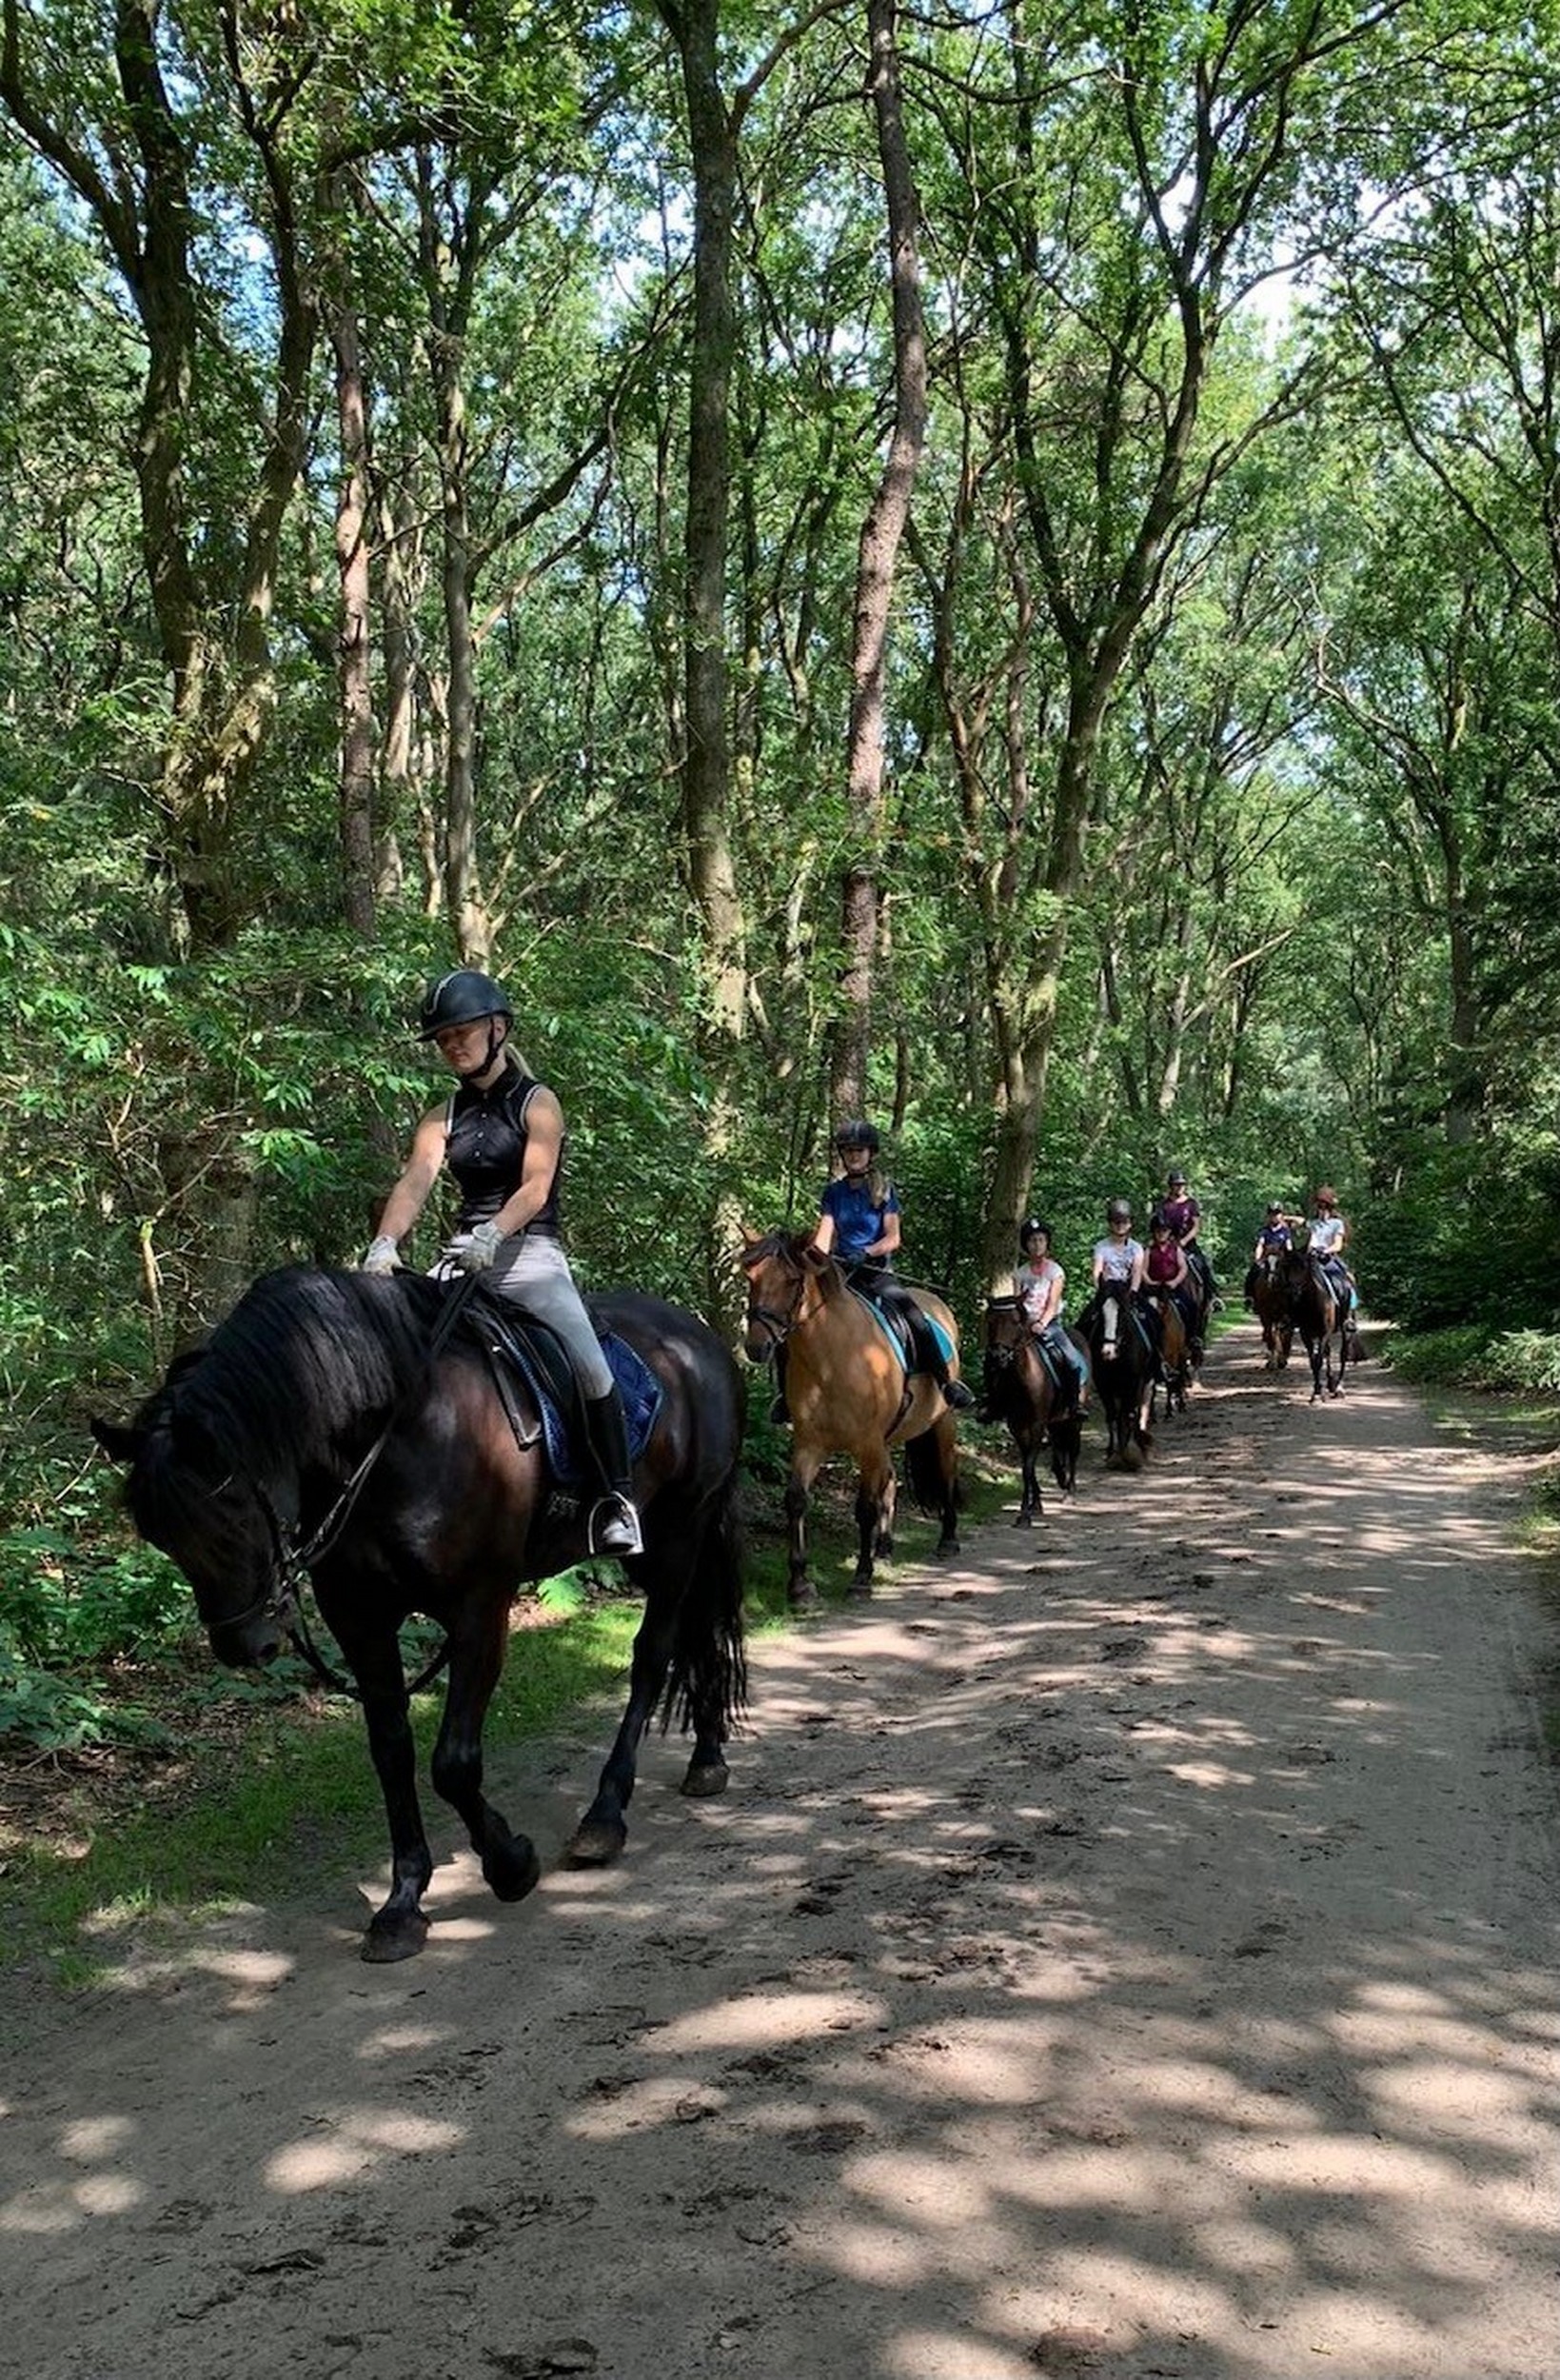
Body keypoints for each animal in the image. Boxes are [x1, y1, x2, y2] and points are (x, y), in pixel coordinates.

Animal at [92, 1265, 747, 1964]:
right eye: (160, 1535)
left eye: (233, 1514)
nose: (246, 1645)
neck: (398, 1435)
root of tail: (696, 1339)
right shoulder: (360, 1619)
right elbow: (391, 1752)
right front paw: (402, 1902)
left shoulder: (479, 1609)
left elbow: (453, 1764)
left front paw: (510, 1864)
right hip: (660, 1550)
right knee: (696, 1633)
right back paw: (706, 1758)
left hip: (681, 1533)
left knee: (653, 1654)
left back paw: (604, 1815)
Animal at [739, 1229, 962, 1605]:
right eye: (750, 1278)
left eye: (792, 1280)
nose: (757, 1347)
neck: (832, 1359)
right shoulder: (810, 1443)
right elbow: (796, 1500)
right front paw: (800, 1585)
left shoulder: (867, 1443)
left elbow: (865, 1508)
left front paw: (861, 1578)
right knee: (891, 1481)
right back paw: (884, 1551)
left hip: (941, 1423)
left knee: (945, 1472)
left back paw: (948, 1540)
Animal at [981, 1297, 1088, 1523]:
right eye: (990, 1322)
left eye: (1015, 1322)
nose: (997, 1356)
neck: (1024, 1377)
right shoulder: (1017, 1426)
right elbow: (1027, 1466)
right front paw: (1034, 1504)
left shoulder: (1037, 1424)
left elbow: (1028, 1467)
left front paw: (1024, 1515)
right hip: (1056, 1420)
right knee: (1058, 1446)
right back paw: (1060, 1476)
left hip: (1073, 1420)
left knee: (1073, 1450)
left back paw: (1070, 1492)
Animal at [1079, 1280, 1156, 1470]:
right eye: (1100, 1313)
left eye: (1122, 1313)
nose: (1108, 1352)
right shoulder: (1104, 1384)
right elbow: (1112, 1415)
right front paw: (1113, 1454)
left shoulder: (1135, 1382)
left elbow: (1131, 1413)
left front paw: (1131, 1452)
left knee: (1139, 1407)